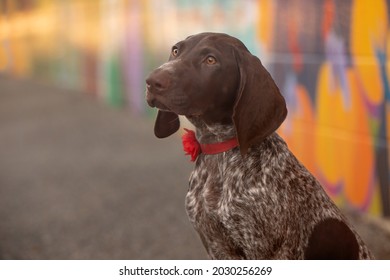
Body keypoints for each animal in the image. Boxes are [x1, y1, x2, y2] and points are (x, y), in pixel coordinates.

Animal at [145, 32, 374, 260]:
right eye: (176, 50)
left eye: (211, 60)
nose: (152, 81)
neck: (219, 155)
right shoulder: (215, 245)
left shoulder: (261, 250)